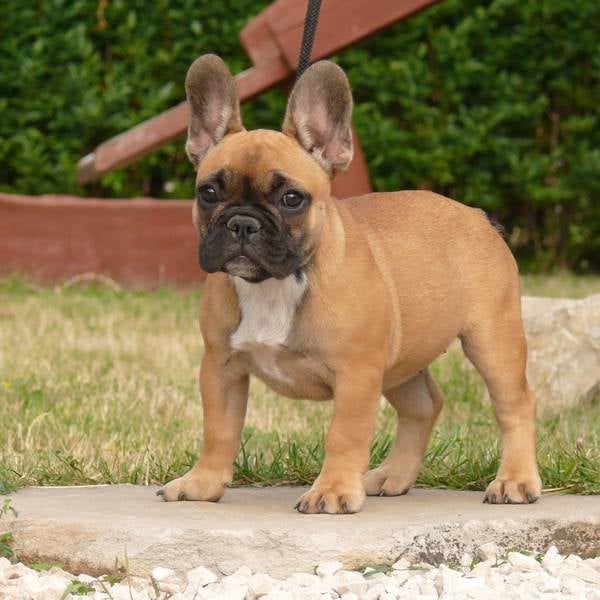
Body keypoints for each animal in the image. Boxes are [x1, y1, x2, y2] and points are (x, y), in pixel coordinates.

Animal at [156, 54, 542, 514]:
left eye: (291, 199)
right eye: (209, 192)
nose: (243, 223)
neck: (275, 284)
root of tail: (478, 215)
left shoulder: (357, 375)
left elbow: (344, 434)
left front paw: (334, 490)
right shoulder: (221, 366)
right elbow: (219, 431)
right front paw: (202, 483)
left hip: (492, 340)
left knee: (515, 406)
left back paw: (515, 481)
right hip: (400, 358)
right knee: (424, 405)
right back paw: (393, 476)